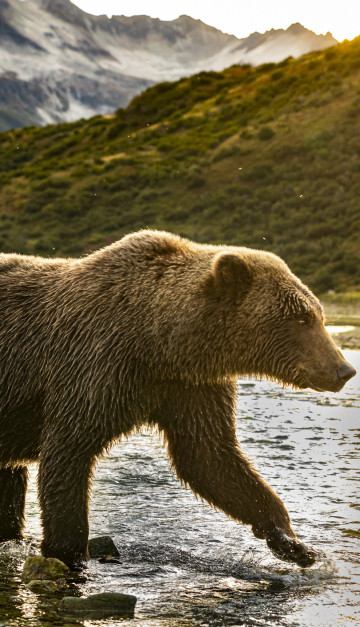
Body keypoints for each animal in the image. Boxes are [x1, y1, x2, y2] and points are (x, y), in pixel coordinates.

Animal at [0, 232, 356, 568]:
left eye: (318, 314)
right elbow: (68, 453)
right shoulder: (92, 367)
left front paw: (291, 542)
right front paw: (70, 552)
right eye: (301, 318)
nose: (344, 370)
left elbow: (210, 456)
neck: (158, 343)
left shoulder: (190, 387)